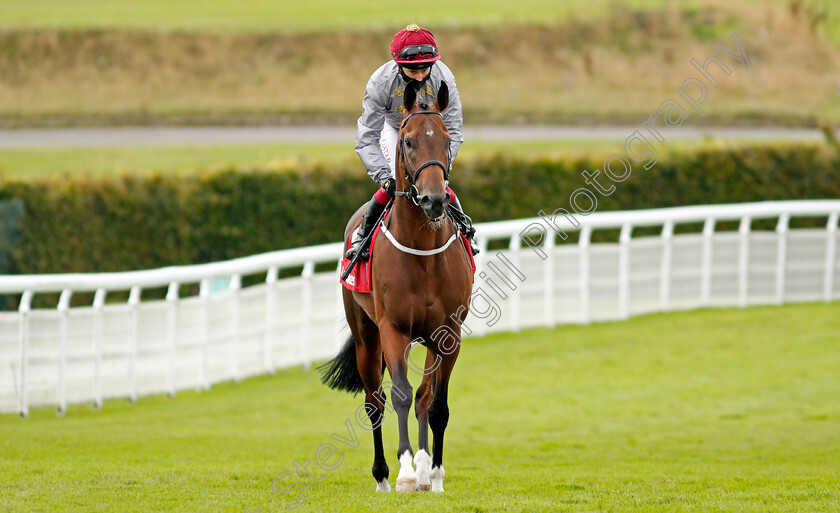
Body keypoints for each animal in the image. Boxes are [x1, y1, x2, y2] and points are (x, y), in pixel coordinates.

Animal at [320, 80, 472, 492]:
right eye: (408, 141)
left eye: (447, 138)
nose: (433, 199)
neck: (422, 253)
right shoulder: (393, 328)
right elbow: (400, 394)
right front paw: (404, 470)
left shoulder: (449, 332)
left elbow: (435, 405)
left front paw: (432, 473)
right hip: (365, 335)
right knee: (375, 401)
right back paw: (384, 476)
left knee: (423, 397)